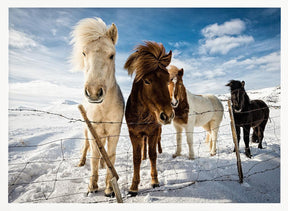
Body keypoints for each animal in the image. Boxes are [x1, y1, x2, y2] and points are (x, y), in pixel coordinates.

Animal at [70, 17, 124, 196]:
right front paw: (92, 186)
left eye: (112, 55)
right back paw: (81, 162)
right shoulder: (94, 130)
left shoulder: (114, 132)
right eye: (84, 53)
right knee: (87, 147)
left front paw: (109, 188)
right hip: (87, 131)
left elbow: (111, 155)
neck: (103, 108)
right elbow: (93, 156)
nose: (94, 92)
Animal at [124, 41, 173, 196]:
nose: (167, 115)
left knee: (158, 143)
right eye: (146, 81)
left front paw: (154, 180)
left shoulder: (153, 132)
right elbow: (136, 158)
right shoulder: (134, 134)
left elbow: (153, 155)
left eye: (168, 80)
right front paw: (133, 187)